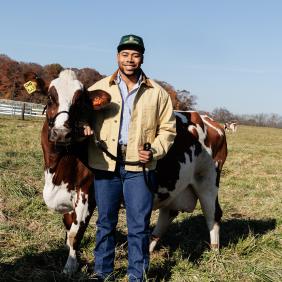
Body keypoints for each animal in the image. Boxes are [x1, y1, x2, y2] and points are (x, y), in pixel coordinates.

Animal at [27, 69, 110, 274]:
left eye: (79, 102)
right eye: (50, 98)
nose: (62, 133)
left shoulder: (88, 193)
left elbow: (75, 232)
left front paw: (71, 266)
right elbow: (68, 226)